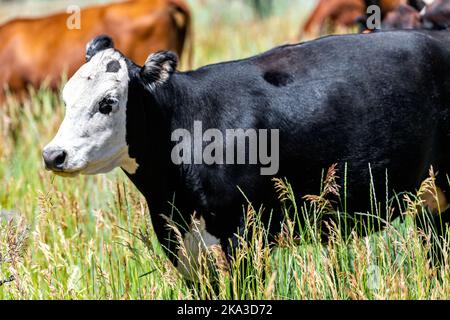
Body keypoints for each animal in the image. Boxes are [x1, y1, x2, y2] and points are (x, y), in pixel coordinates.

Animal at [44, 30, 450, 278]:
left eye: (108, 102)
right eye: (66, 98)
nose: (53, 155)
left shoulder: (244, 237)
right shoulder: (180, 245)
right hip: (430, 205)